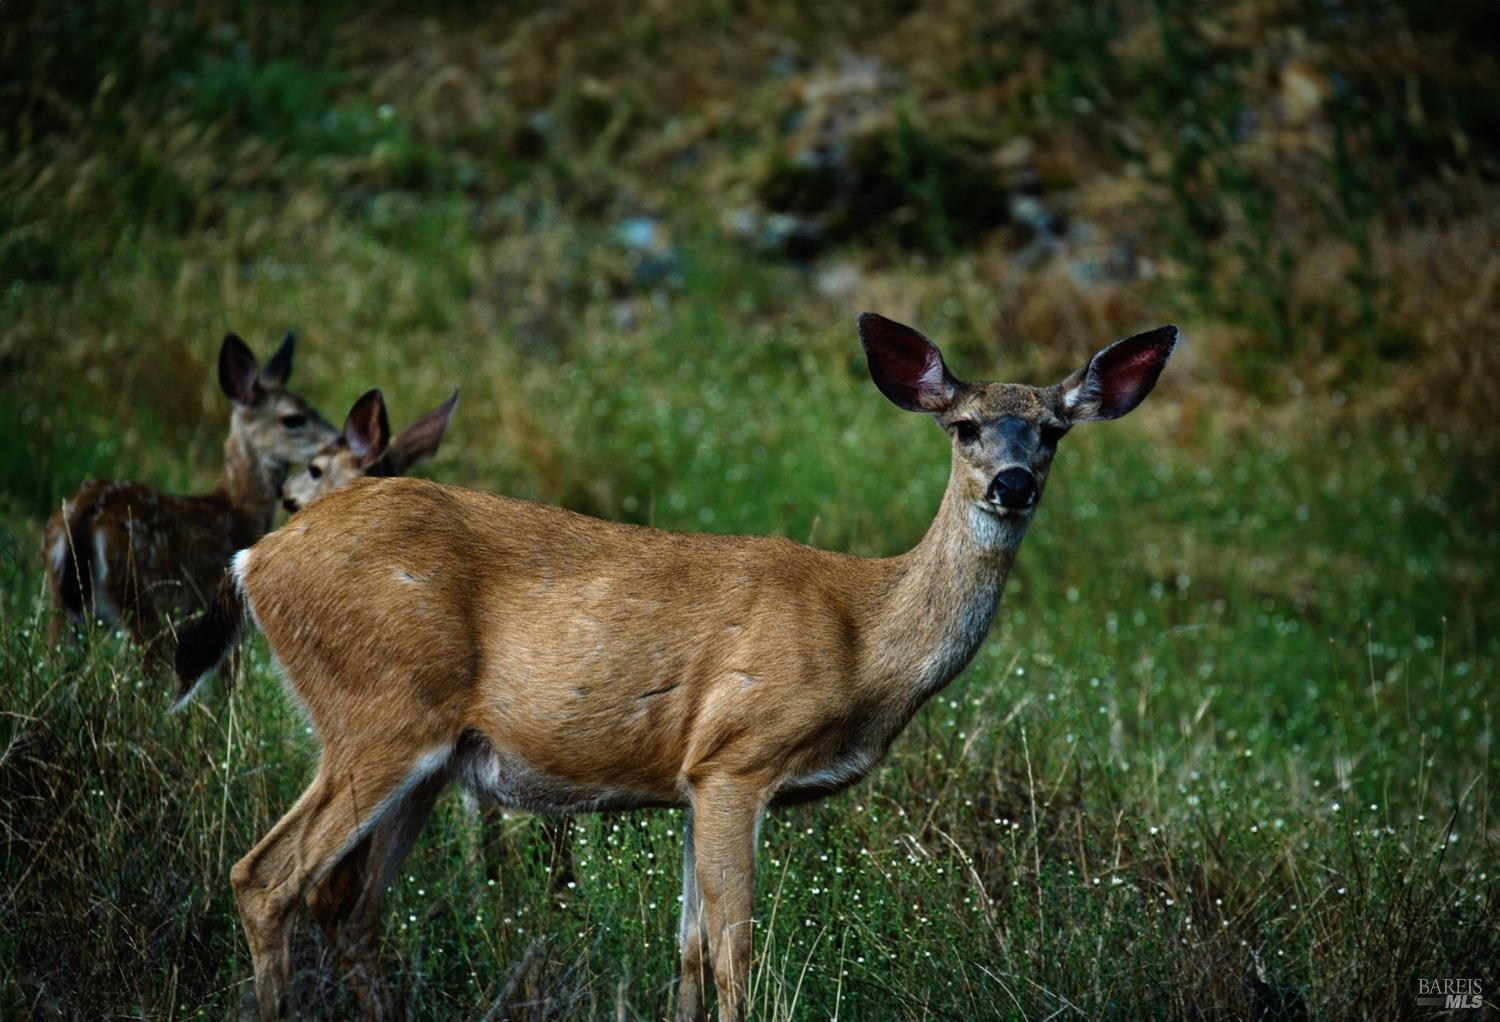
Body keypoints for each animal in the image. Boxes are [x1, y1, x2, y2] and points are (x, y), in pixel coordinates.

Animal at [45, 330, 336, 666]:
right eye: (293, 418)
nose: (337, 438)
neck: (237, 510)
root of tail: (86, 512)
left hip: (62, 602)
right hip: (145, 601)